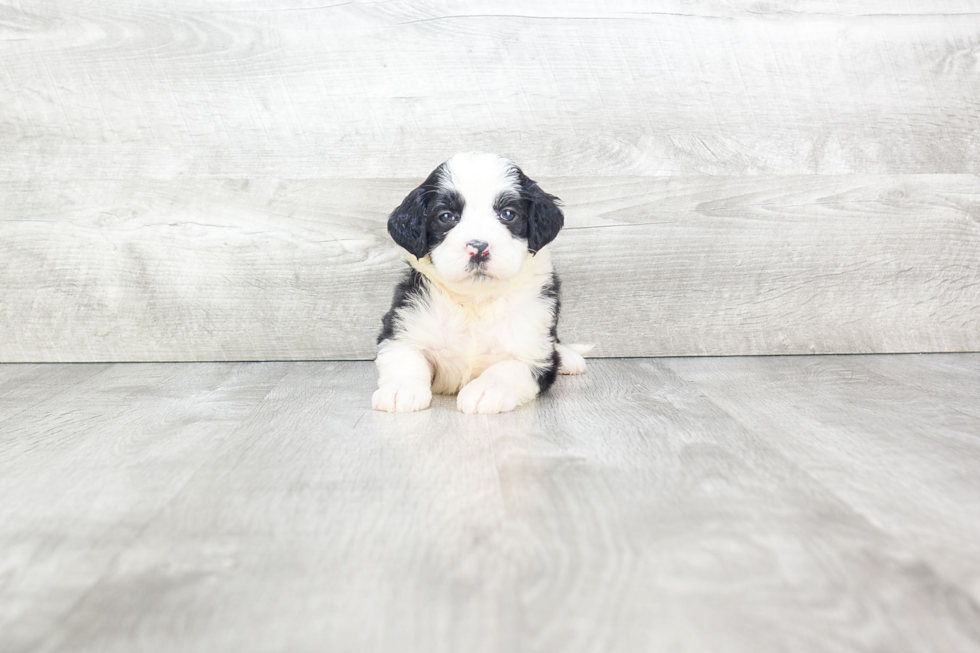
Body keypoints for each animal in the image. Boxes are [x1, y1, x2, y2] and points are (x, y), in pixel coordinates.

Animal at [376, 152, 588, 412]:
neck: (475, 301)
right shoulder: (405, 324)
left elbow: (508, 368)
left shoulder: (533, 350)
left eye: (508, 214)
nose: (478, 247)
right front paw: (401, 389)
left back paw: (569, 358)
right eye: (446, 216)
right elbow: (405, 357)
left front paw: (487, 390)